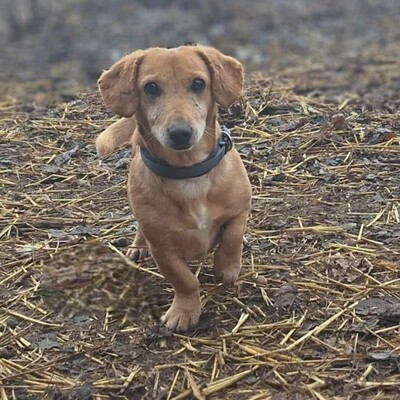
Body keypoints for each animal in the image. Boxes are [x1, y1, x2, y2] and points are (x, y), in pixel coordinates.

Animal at [96, 44, 250, 332]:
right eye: (151, 87)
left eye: (199, 83)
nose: (180, 132)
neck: (188, 173)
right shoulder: (163, 249)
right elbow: (185, 281)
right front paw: (185, 311)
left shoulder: (241, 209)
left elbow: (232, 237)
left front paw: (226, 268)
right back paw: (138, 246)